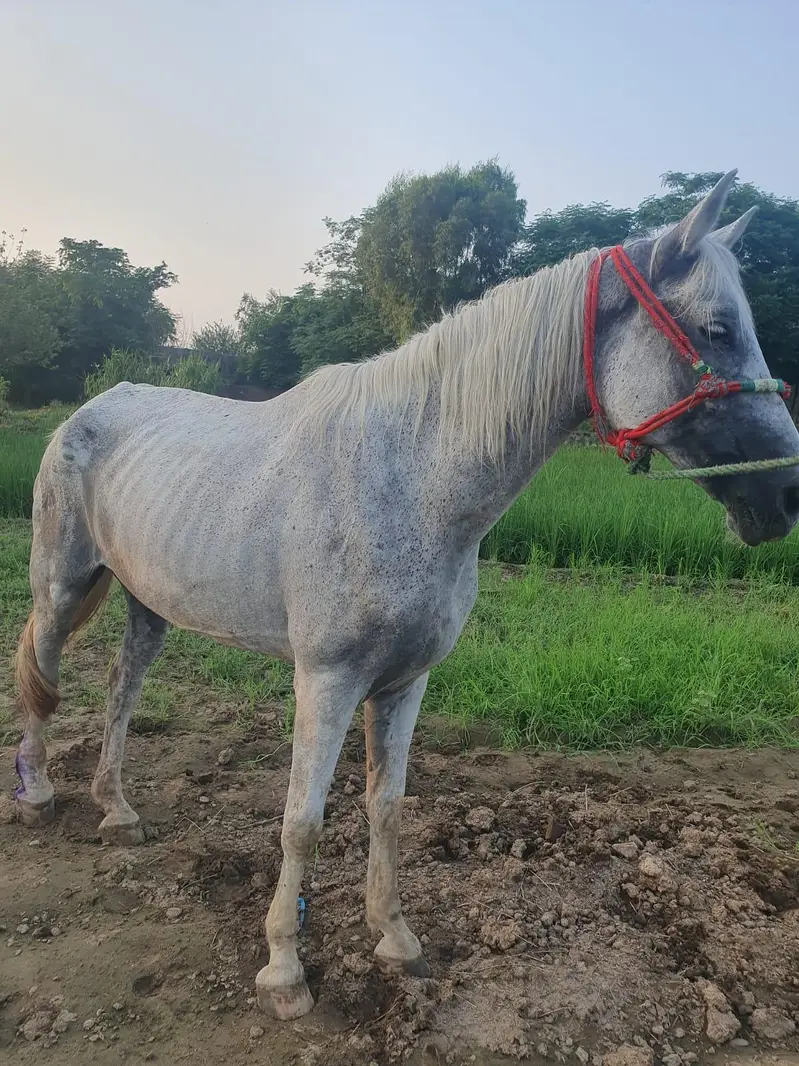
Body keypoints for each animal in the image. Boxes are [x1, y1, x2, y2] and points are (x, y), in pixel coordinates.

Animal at [13, 171, 799, 1020]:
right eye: (717, 329)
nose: (783, 494)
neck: (410, 479)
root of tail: (88, 411)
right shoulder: (325, 679)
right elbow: (301, 822)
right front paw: (284, 969)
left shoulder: (405, 681)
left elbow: (385, 806)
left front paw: (393, 936)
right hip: (62, 582)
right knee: (44, 678)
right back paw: (39, 794)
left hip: (148, 603)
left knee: (121, 688)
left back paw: (117, 809)